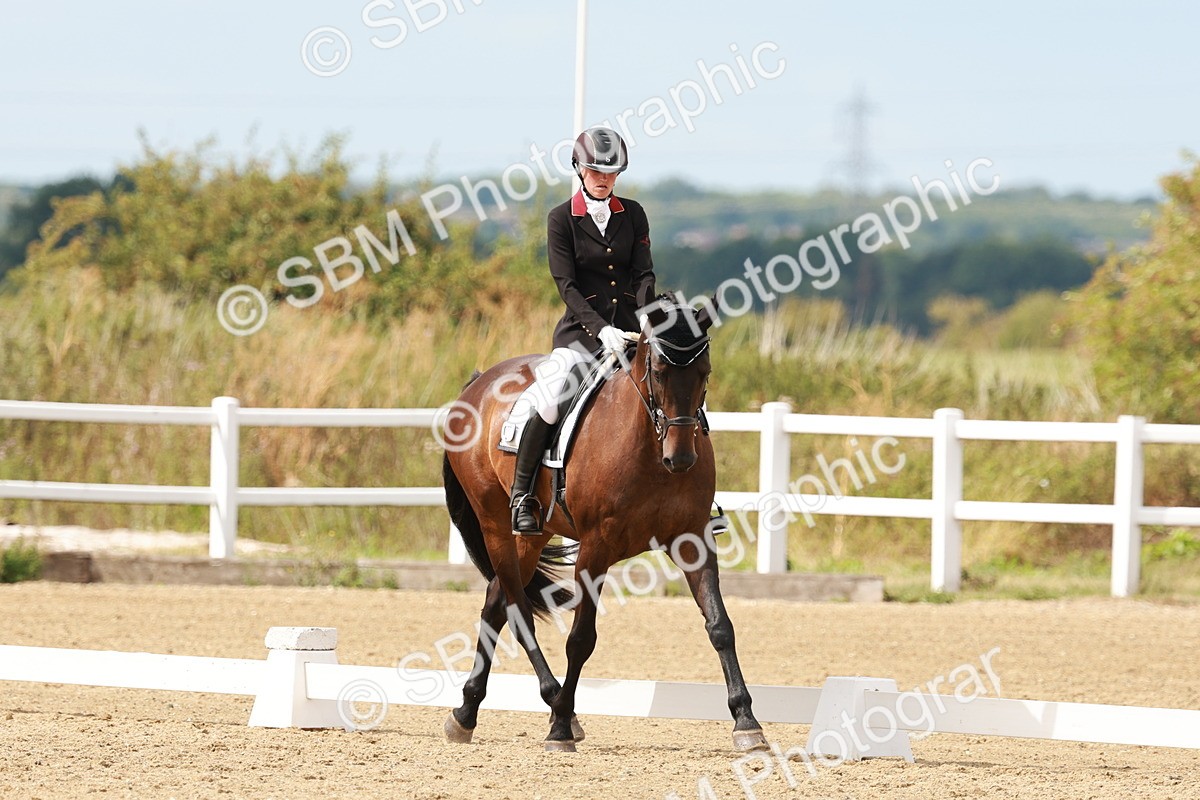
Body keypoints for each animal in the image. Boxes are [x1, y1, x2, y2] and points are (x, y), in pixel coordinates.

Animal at [440, 298, 767, 753]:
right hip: (495, 524)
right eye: (659, 371)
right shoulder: (595, 549)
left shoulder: (693, 540)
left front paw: (747, 721)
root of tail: (476, 384)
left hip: (534, 536)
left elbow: (720, 626)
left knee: (495, 603)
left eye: (705, 372)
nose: (681, 459)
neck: (649, 449)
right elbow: (581, 639)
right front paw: (559, 727)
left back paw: (466, 713)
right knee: (516, 609)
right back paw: (553, 703)